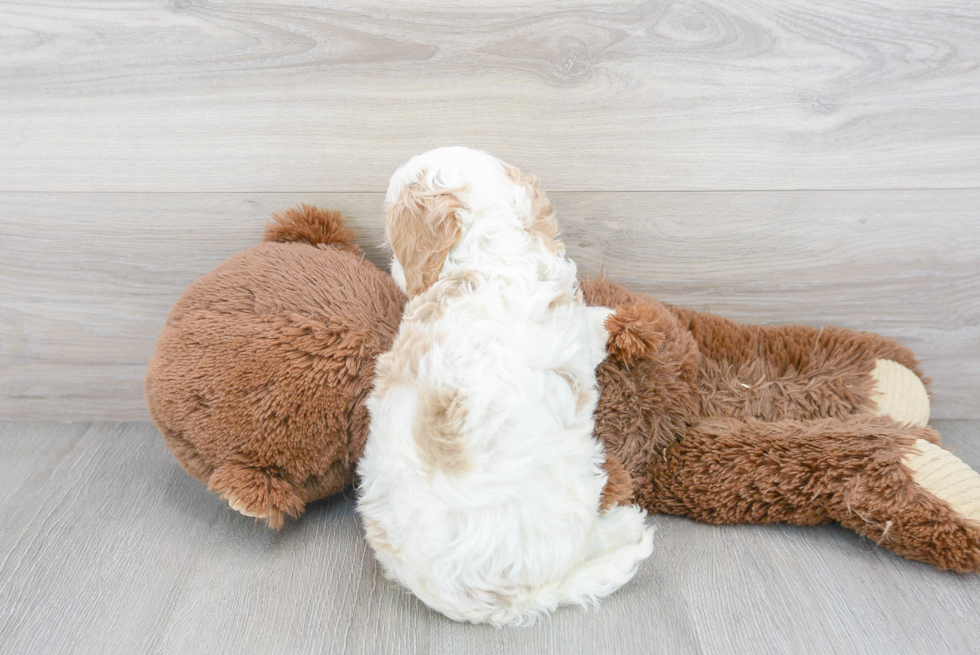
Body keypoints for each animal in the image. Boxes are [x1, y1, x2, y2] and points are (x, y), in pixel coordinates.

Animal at [356, 146, 656, 628]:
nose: (396, 272)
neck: (491, 248)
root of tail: (481, 601)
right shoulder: (578, 333)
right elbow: (594, 328)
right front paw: (615, 318)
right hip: (575, 485)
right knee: (586, 543)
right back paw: (625, 524)